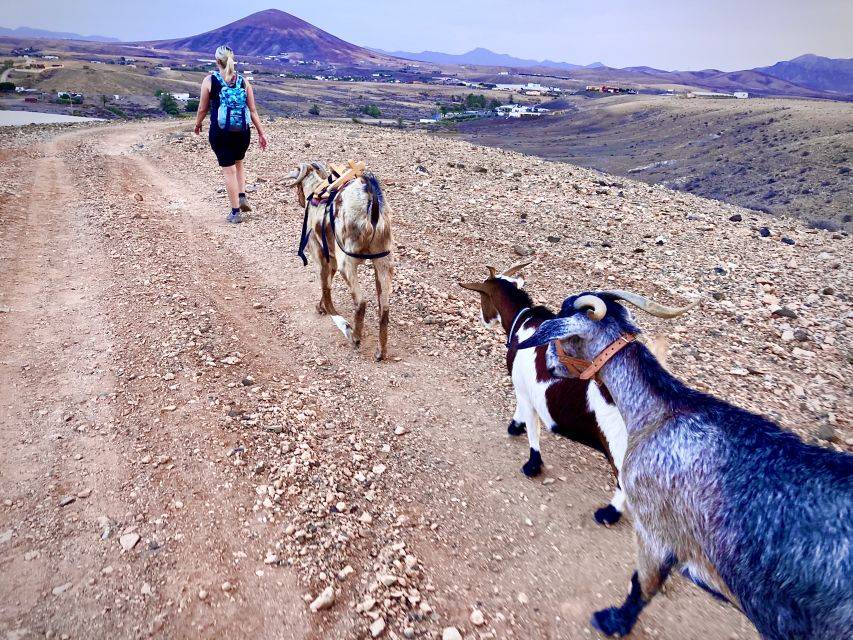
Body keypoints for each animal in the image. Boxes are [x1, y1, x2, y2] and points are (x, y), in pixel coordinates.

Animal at [284, 161, 394, 360]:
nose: (300, 200)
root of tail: (371, 199)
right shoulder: (332, 260)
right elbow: (327, 284)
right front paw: (321, 306)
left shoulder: (319, 254)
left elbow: (325, 287)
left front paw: (327, 310)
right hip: (383, 263)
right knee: (384, 309)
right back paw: (380, 351)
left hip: (348, 264)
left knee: (361, 303)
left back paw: (353, 336)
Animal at [462, 260, 628, 524]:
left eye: (482, 296)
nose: (484, 319)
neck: (524, 323)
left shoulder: (524, 389)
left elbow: (532, 428)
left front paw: (531, 461)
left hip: (618, 443)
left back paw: (609, 513)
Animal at [516, 292, 852, 640]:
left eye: (562, 336)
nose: (546, 364)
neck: (661, 412)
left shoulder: (653, 529)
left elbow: (642, 585)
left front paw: (615, 621)